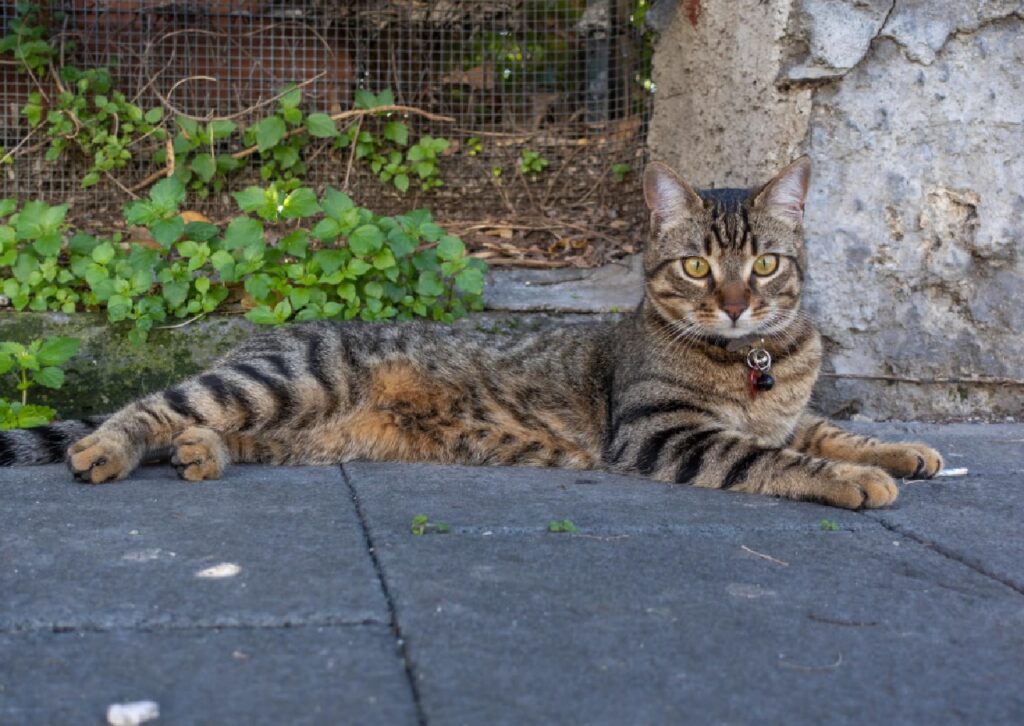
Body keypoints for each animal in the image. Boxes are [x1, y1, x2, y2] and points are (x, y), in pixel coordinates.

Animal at [0, 156, 942, 509]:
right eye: (697, 269)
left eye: (768, 264)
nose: (741, 304)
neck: (756, 360)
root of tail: (252, 342)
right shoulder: (662, 434)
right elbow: (776, 458)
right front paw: (854, 480)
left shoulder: (786, 409)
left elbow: (827, 428)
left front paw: (902, 452)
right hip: (280, 379)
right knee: (150, 407)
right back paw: (108, 450)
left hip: (301, 425)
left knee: (208, 430)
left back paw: (203, 454)